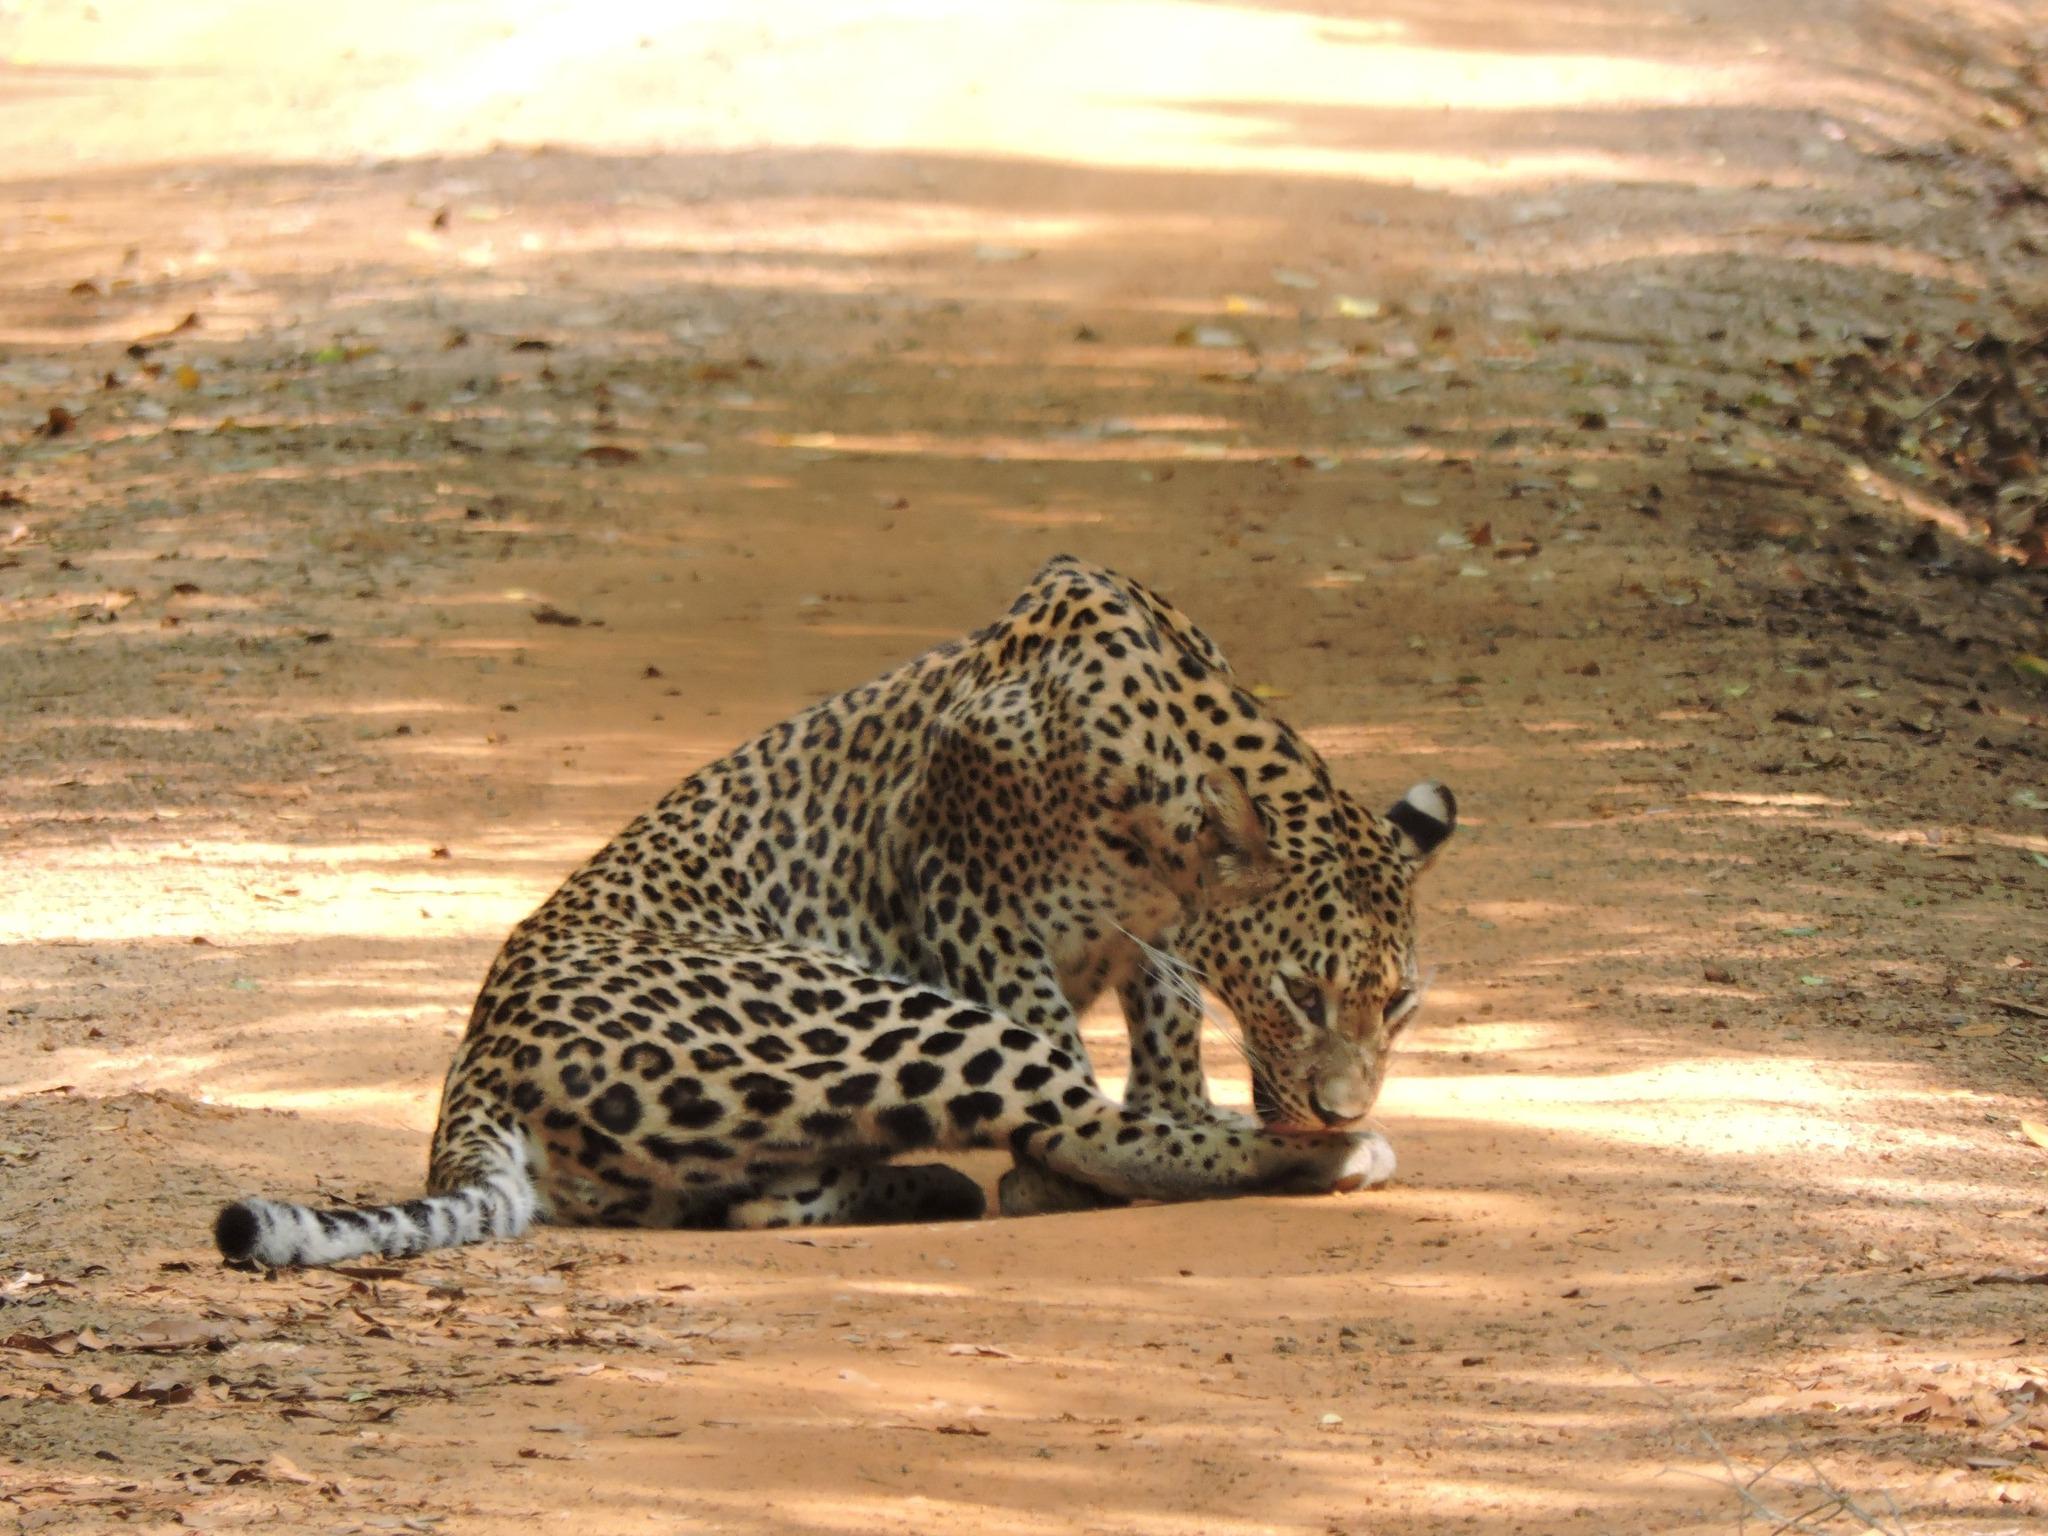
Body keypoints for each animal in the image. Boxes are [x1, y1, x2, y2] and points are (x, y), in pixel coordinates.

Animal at [214, 555, 1455, 1268]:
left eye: (1396, 1007)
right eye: (1300, 994)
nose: (1337, 1103)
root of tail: (474, 1059)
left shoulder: (1146, 938)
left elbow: (1166, 1023)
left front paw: (1190, 1088)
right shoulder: (973, 900)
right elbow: (1090, 1086)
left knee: (768, 1202)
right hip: (882, 1008)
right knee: (1065, 1115)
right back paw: (1319, 1159)